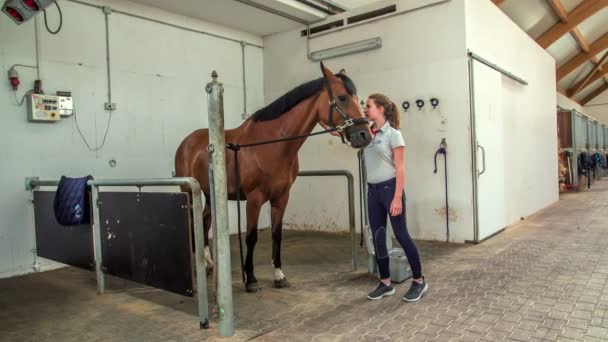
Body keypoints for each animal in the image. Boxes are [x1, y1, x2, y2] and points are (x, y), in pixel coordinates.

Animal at [172, 61, 370, 292]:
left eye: (356, 98)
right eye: (342, 97)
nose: (365, 135)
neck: (272, 145)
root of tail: (187, 142)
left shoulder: (282, 197)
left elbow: (277, 235)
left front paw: (279, 275)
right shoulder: (254, 199)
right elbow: (251, 237)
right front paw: (251, 279)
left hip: (209, 194)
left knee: (205, 221)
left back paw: (209, 263)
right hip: (188, 190)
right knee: (194, 222)